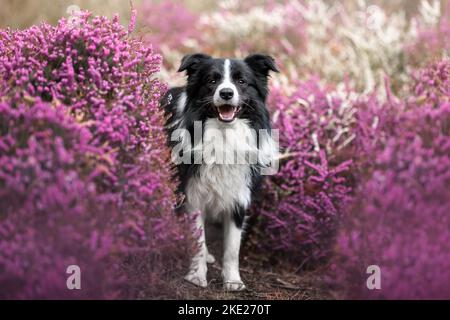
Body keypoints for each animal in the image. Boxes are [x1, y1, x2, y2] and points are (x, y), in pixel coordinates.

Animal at [162, 53, 278, 292]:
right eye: (212, 80)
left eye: (241, 81)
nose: (226, 93)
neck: (224, 135)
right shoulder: (192, 194)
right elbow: (197, 240)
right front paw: (196, 276)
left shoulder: (238, 194)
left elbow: (233, 247)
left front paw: (233, 280)